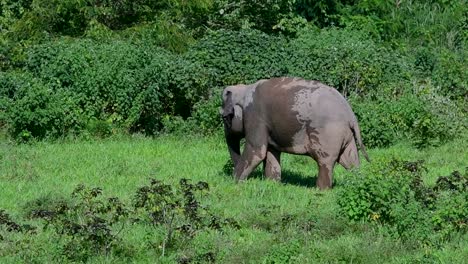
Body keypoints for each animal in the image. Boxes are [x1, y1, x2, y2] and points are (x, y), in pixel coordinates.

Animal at [221, 76, 372, 190]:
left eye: (224, 118)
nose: (231, 172)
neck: (244, 89)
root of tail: (351, 114)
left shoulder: (255, 116)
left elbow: (257, 150)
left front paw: (234, 182)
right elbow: (271, 152)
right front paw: (272, 184)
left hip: (328, 134)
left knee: (325, 162)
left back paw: (320, 191)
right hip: (346, 135)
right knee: (350, 161)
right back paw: (357, 183)